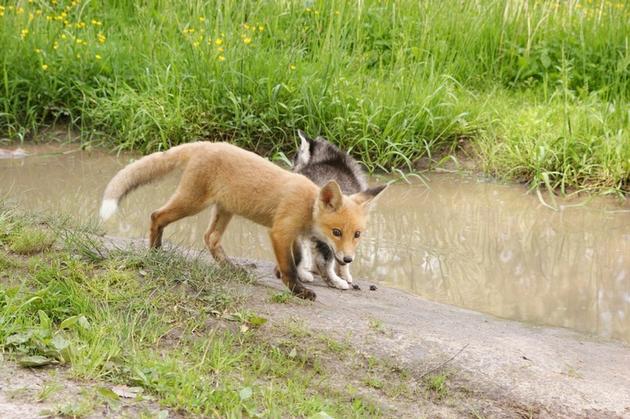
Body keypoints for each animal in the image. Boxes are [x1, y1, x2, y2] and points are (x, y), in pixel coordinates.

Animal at [100, 143, 386, 300]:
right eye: (336, 231)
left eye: (357, 234)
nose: (347, 259)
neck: (307, 204)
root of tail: (206, 143)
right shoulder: (280, 232)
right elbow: (291, 266)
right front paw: (299, 290)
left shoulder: (293, 235)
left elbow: (296, 260)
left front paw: (289, 277)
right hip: (192, 202)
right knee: (156, 215)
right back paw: (155, 251)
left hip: (225, 210)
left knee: (210, 238)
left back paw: (230, 268)